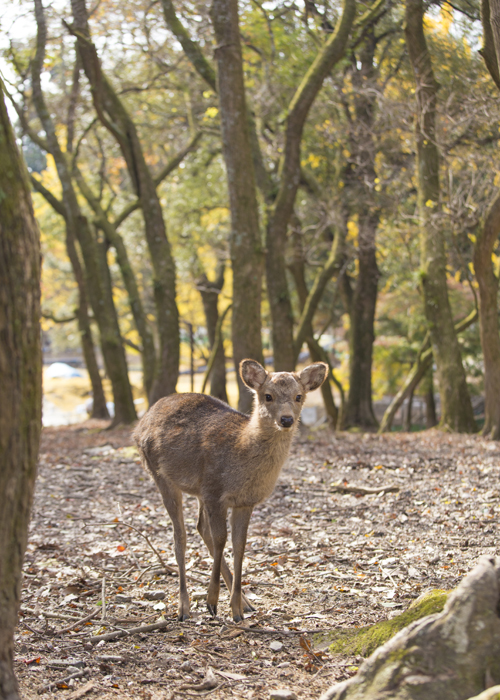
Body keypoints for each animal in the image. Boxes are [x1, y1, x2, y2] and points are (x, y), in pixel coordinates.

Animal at [133, 358, 328, 620]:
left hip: (198, 490)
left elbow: (239, 544)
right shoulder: (215, 491)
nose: (286, 419)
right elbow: (221, 539)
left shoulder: (244, 501)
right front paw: (212, 601)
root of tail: (140, 423)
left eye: (299, 396)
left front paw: (236, 608)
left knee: (200, 527)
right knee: (180, 535)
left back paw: (244, 602)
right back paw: (184, 606)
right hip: (160, 474)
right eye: (267, 396)